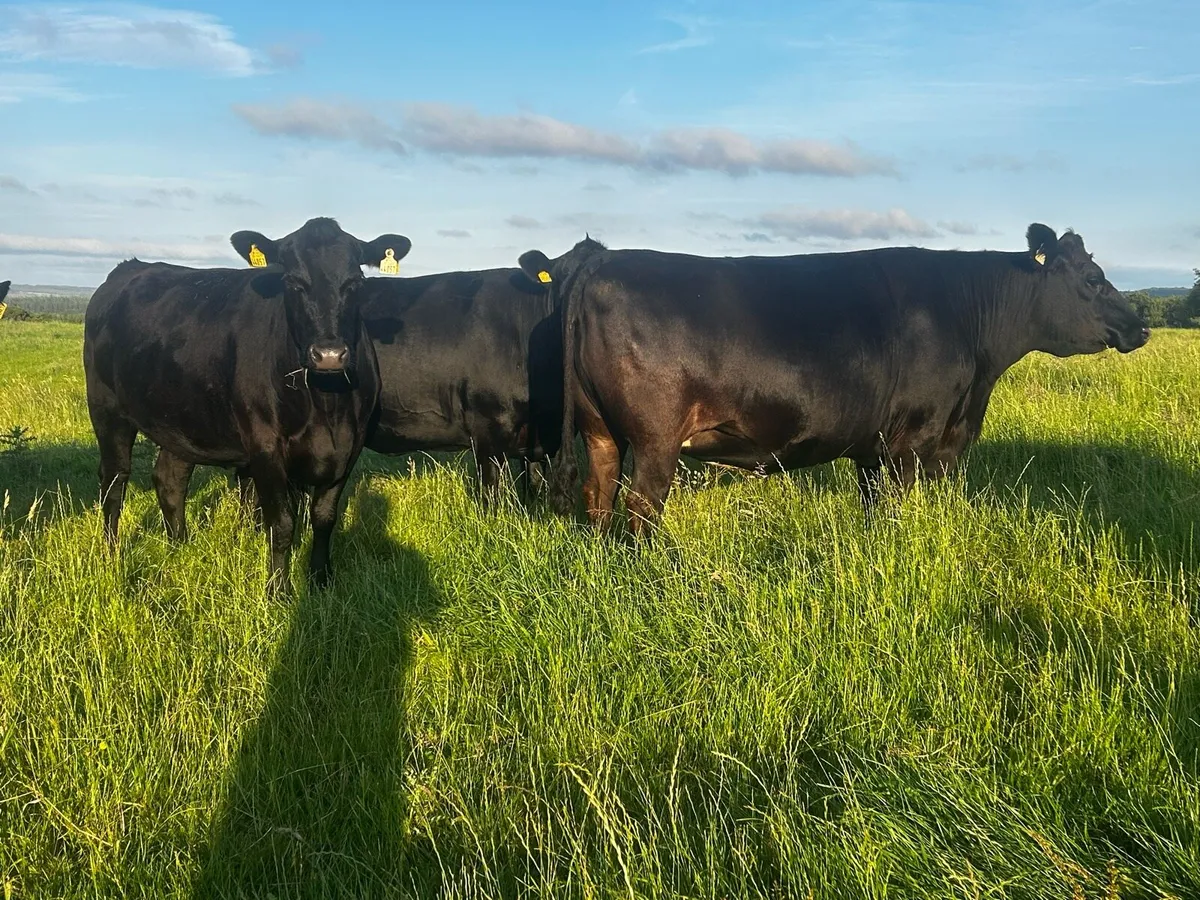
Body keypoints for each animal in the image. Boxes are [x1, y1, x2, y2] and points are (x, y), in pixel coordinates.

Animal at [83, 217, 410, 592]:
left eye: (355, 282)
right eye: (292, 281)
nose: (328, 355)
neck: (325, 404)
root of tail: (128, 268)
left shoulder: (350, 447)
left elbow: (324, 518)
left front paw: (320, 579)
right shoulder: (265, 446)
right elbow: (281, 524)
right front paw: (279, 591)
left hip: (181, 417)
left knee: (170, 478)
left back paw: (180, 547)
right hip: (106, 408)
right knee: (114, 481)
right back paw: (112, 555)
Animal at [518, 224, 1150, 536]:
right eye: (1092, 279)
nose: (1140, 325)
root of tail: (603, 260)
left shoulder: (874, 446)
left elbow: (873, 512)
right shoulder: (913, 440)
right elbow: (896, 514)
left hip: (600, 429)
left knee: (598, 497)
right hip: (655, 437)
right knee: (641, 506)